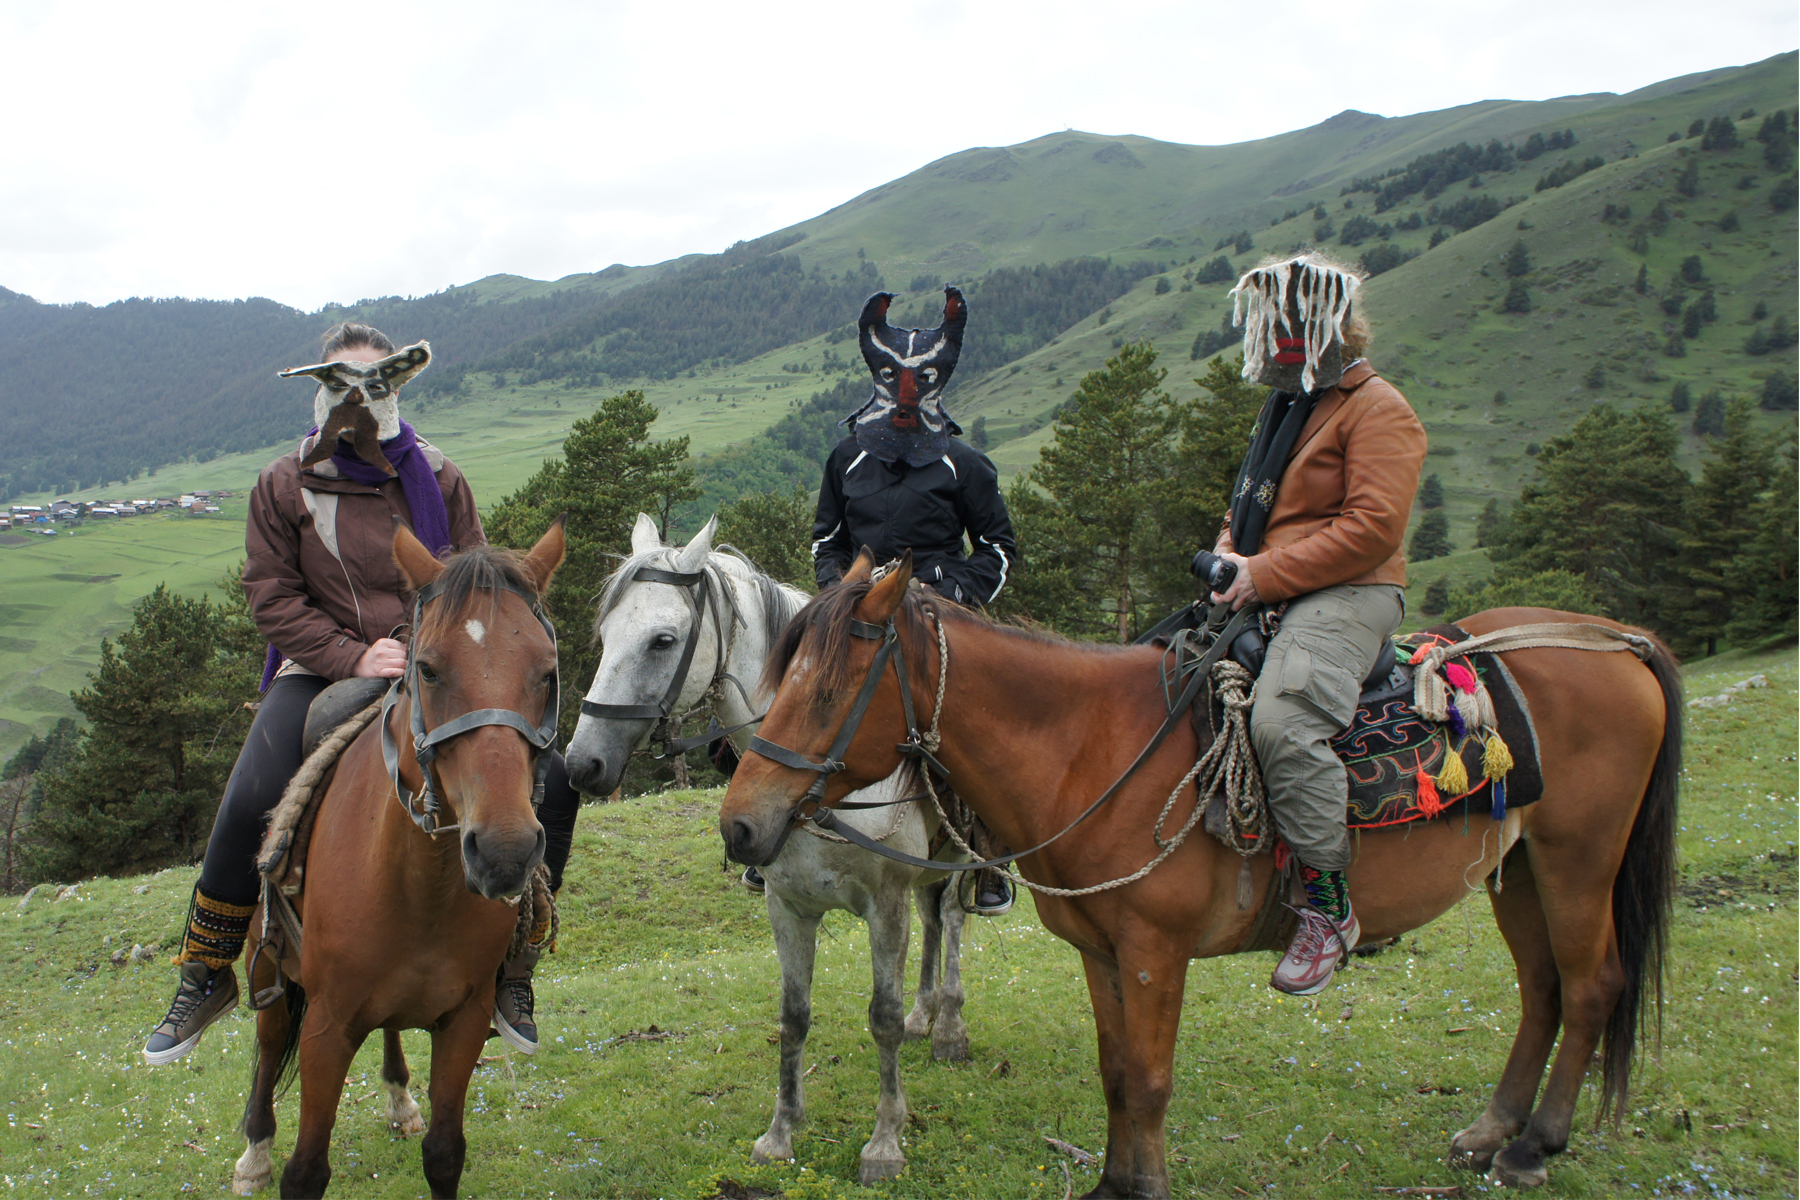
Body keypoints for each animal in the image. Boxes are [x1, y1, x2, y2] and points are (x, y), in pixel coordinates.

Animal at [235, 525, 561, 1200]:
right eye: (428, 670)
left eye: (547, 674)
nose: (505, 851)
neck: (421, 888)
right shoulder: (326, 1030)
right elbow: (305, 1171)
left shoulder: (465, 1022)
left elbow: (444, 1153)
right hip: (267, 967)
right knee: (268, 1042)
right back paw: (253, 1152)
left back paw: (398, 1099)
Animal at [568, 510, 979, 1187]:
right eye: (605, 634)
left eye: (662, 640)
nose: (583, 765)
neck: (811, 784)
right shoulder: (786, 907)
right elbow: (794, 1016)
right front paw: (781, 1132)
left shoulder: (884, 906)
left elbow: (883, 1019)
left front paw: (884, 1142)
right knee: (933, 920)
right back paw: (928, 1015)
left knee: (949, 918)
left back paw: (946, 1025)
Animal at [720, 557, 1684, 1200]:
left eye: (825, 690)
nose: (740, 825)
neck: (1091, 750)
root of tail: (1615, 640)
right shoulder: (1101, 952)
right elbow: (1117, 1072)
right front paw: (1114, 1184)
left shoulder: (1156, 952)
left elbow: (1149, 1079)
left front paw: (1143, 1186)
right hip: (1515, 870)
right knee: (1543, 991)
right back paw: (1491, 1130)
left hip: (1578, 860)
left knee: (1591, 986)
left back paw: (1533, 1146)